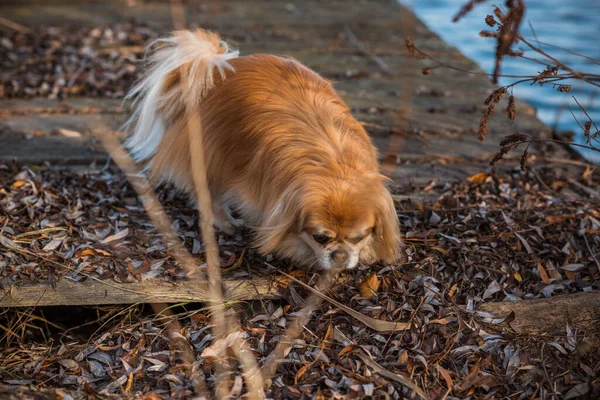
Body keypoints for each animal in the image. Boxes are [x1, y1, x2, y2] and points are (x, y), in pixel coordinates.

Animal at [125, 29, 404, 270]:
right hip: (214, 154)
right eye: (320, 238)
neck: (334, 164)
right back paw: (224, 221)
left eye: (358, 238)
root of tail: (215, 71)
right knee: (208, 192)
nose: (340, 256)